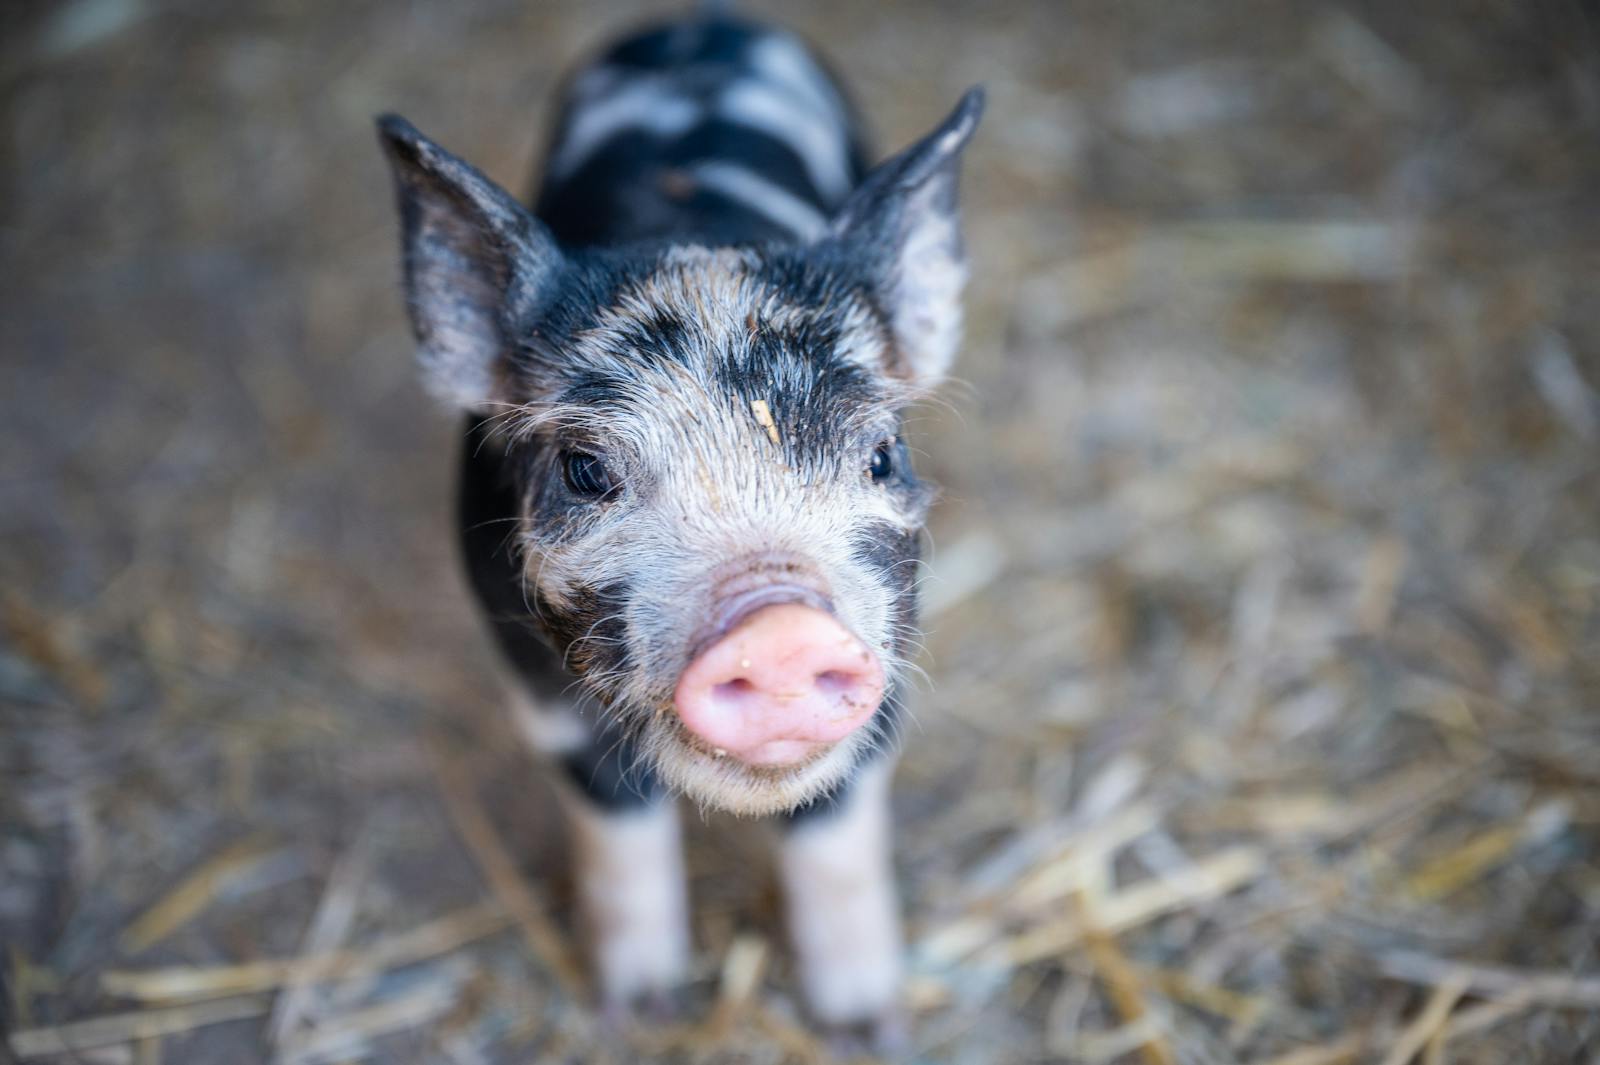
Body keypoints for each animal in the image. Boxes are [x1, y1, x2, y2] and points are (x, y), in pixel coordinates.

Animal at [376, 9, 981, 1044]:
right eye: (586, 471)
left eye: (880, 454)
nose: (780, 626)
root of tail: (700, 19)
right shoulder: (533, 684)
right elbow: (617, 823)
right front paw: (636, 1012)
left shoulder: (896, 645)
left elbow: (838, 824)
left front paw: (869, 1027)